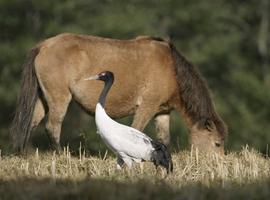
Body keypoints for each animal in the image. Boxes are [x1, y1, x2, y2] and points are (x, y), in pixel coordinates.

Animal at [9, 33, 227, 154]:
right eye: (217, 144)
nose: (218, 164)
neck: (172, 69)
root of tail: (43, 45)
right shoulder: (146, 107)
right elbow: (136, 130)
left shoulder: (162, 112)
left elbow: (164, 139)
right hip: (59, 98)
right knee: (52, 127)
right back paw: (61, 155)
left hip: (42, 99)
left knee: (31, 123)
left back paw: (22, 154)